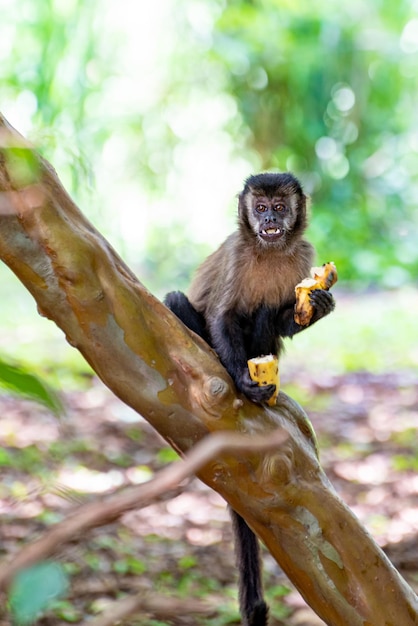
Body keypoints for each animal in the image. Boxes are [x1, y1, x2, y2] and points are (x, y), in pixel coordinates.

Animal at [165, 172, 334, 624]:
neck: (267, 250)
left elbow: (287, 316)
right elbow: (221, 315)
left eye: (278, 207)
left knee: (263, 316)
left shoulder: (304, 255)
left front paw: (318, 304)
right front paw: (243, 381)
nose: (270, 221)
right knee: (177, 303)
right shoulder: (238, 254)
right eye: (260, 208)